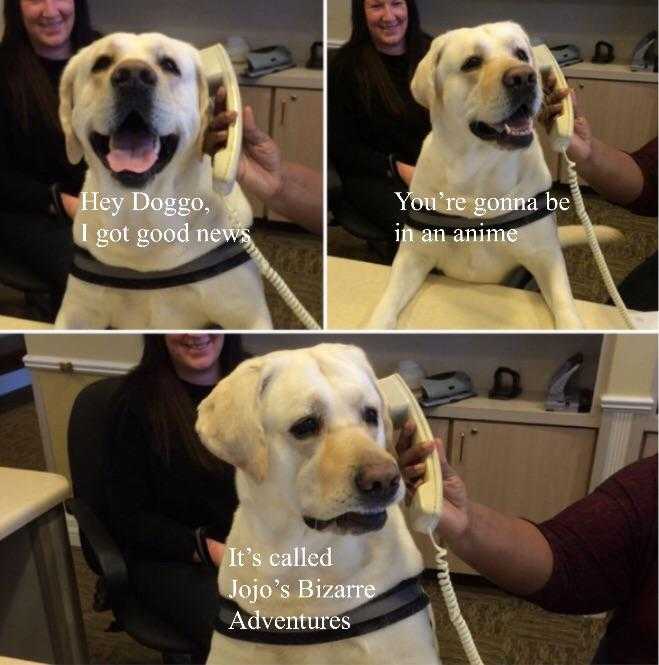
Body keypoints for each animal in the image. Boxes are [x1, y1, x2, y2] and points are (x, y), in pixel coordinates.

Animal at [56, 33, 270, 330]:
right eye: (102, 63)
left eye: (169, 65)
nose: (133, 76)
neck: (142, 214)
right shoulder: (76, 314)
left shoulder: (249, 315)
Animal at [368, 22, 620, 330]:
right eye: (472, 62)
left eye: (522, 54)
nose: (525, 77)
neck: (479, 171)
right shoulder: (413, 255)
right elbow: (389, 299)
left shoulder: (546, 257)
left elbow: (564, 301)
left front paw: (572, 326)